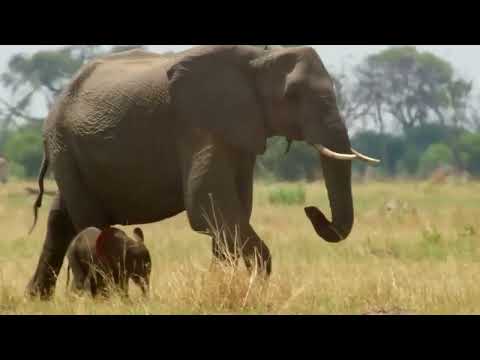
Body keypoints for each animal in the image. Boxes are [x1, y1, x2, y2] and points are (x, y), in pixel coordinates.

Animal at [26, 45, 378, 298]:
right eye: (291, 96)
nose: (311, 209)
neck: (258, 58)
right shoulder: (199, 122)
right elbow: (208, 204)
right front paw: (253, 290)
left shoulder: (240, 131)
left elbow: (231, 211)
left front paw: (221, 284)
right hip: (64, 146)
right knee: (89, 221)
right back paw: (98, 296)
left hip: (70, 154)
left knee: (60, 217)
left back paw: (37, 298)